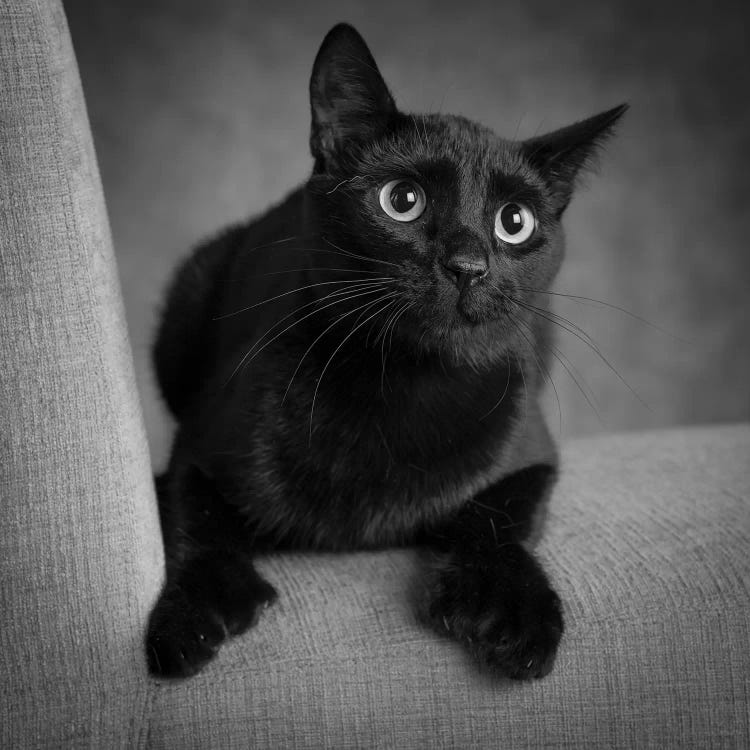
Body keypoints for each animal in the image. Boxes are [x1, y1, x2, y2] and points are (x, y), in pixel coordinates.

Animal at [147, 22, 628, 680]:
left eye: (515, 221)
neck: (401, 384)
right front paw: (191, 614)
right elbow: (194, 516)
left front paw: (515, 612)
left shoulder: (532, 452)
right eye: (403, 200)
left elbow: (498, 518)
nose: (467, 266)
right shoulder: (201, 443)